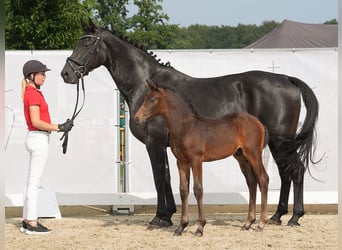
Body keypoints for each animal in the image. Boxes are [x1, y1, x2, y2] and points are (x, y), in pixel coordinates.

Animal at [60, 19, 318, 227]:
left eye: (86, 44)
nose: (66, 74)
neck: (146, 86)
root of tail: (286, 79)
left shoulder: (153, 143)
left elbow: (158, 177)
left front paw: (158, 218)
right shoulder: (166, 146)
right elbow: (166, 176)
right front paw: (168, 216)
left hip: (281, 141)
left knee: (295, 171)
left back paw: (294, 217)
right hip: (276, 143)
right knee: (285, 174)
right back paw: (277, 216)